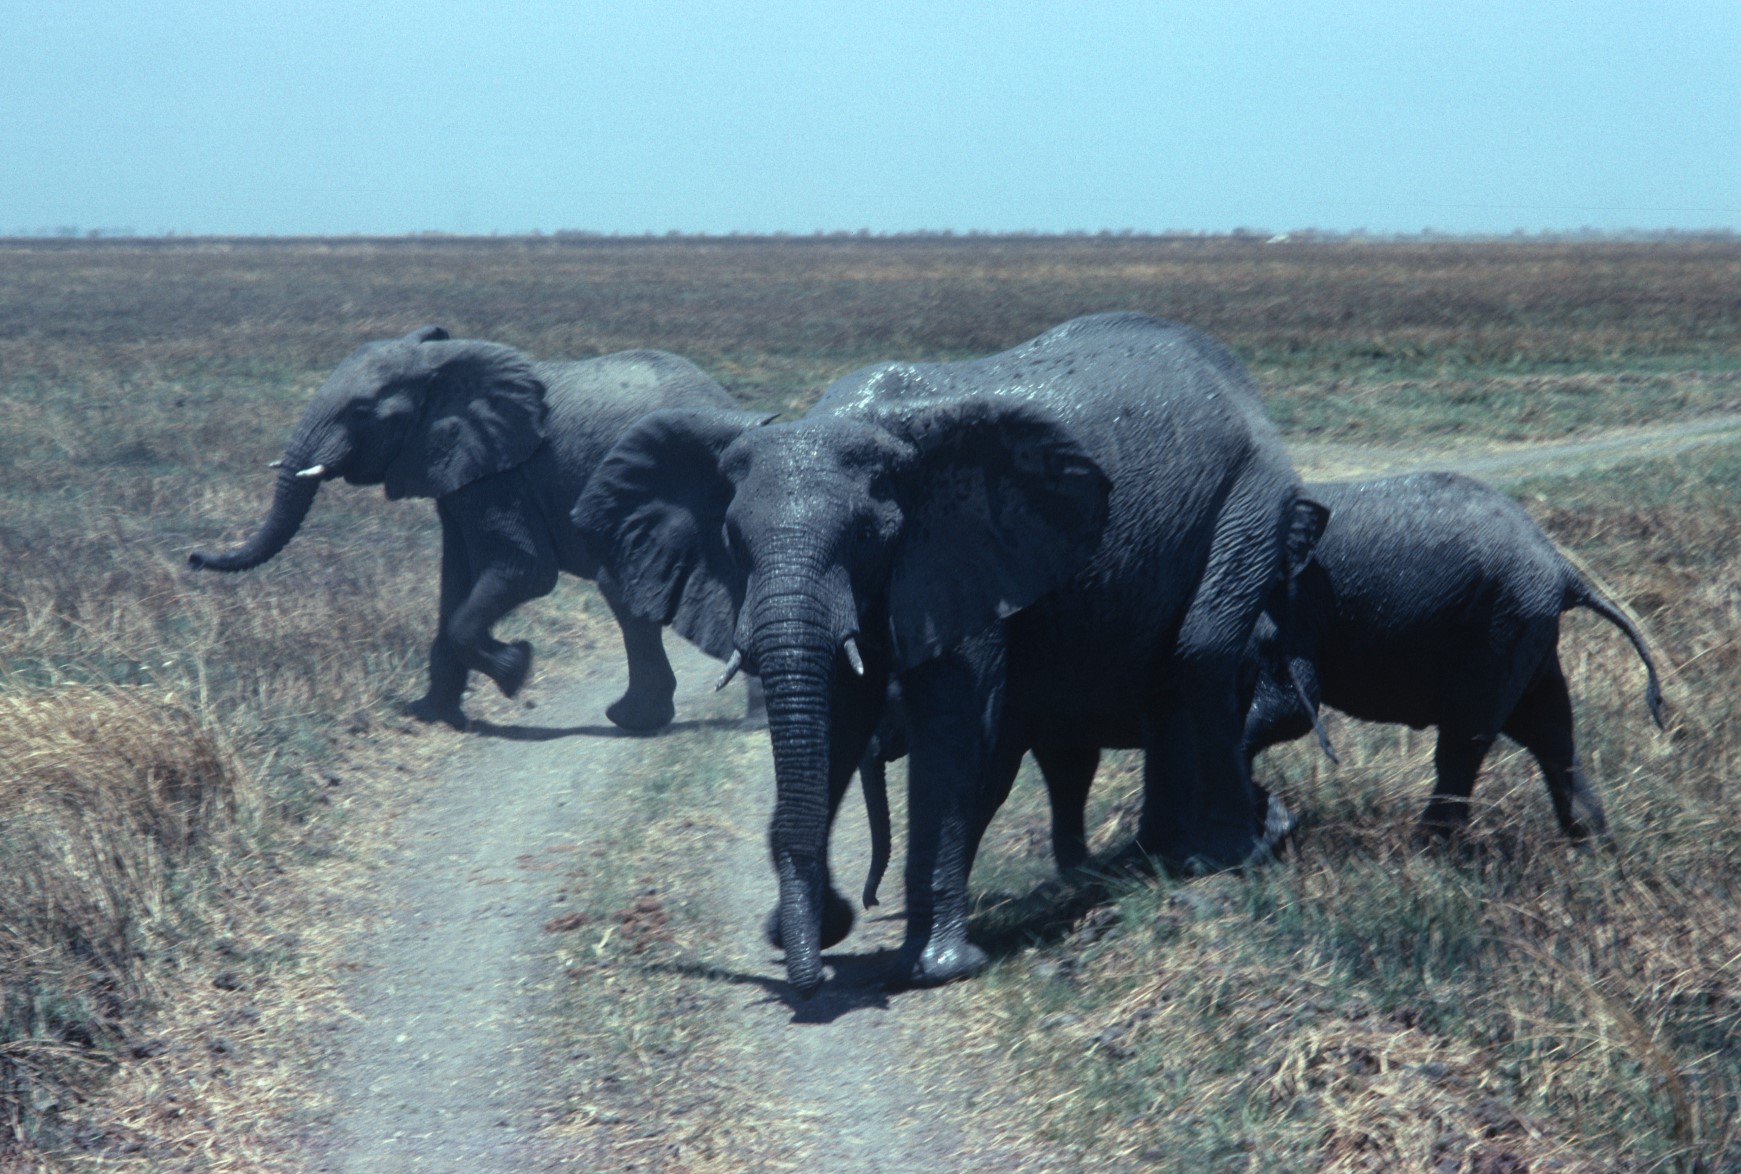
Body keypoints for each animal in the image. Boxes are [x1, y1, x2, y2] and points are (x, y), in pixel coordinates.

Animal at [189, 325, 754, 731]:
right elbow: (454, 580)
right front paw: (431, 715)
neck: (439, 366)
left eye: (362, 411)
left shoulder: (501, 473)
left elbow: (523, 570)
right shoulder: (458, 471)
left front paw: (517, 670)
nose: (193, 557)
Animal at [573, 312, 1326, 993]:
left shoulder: (963, 557)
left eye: (866, 536)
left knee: (1203, 652)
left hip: (1253, 493)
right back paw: (1149, 861)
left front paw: (937, 970)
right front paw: (814, 931)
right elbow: (838, 714)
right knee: (1165, 681)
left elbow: (955, 726)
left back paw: (1221, 859)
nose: (810, 974)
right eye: (732, 540)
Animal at [1242, 470, 1665, 840]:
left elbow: (1285, 708)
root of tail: (1564, 568)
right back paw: (1593, 852)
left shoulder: (1288, 609)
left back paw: (1427, 853)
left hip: (1501, 623)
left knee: (1466, 738)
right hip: (1526, 627)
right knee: (1549, 732)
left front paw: (1268, 833)